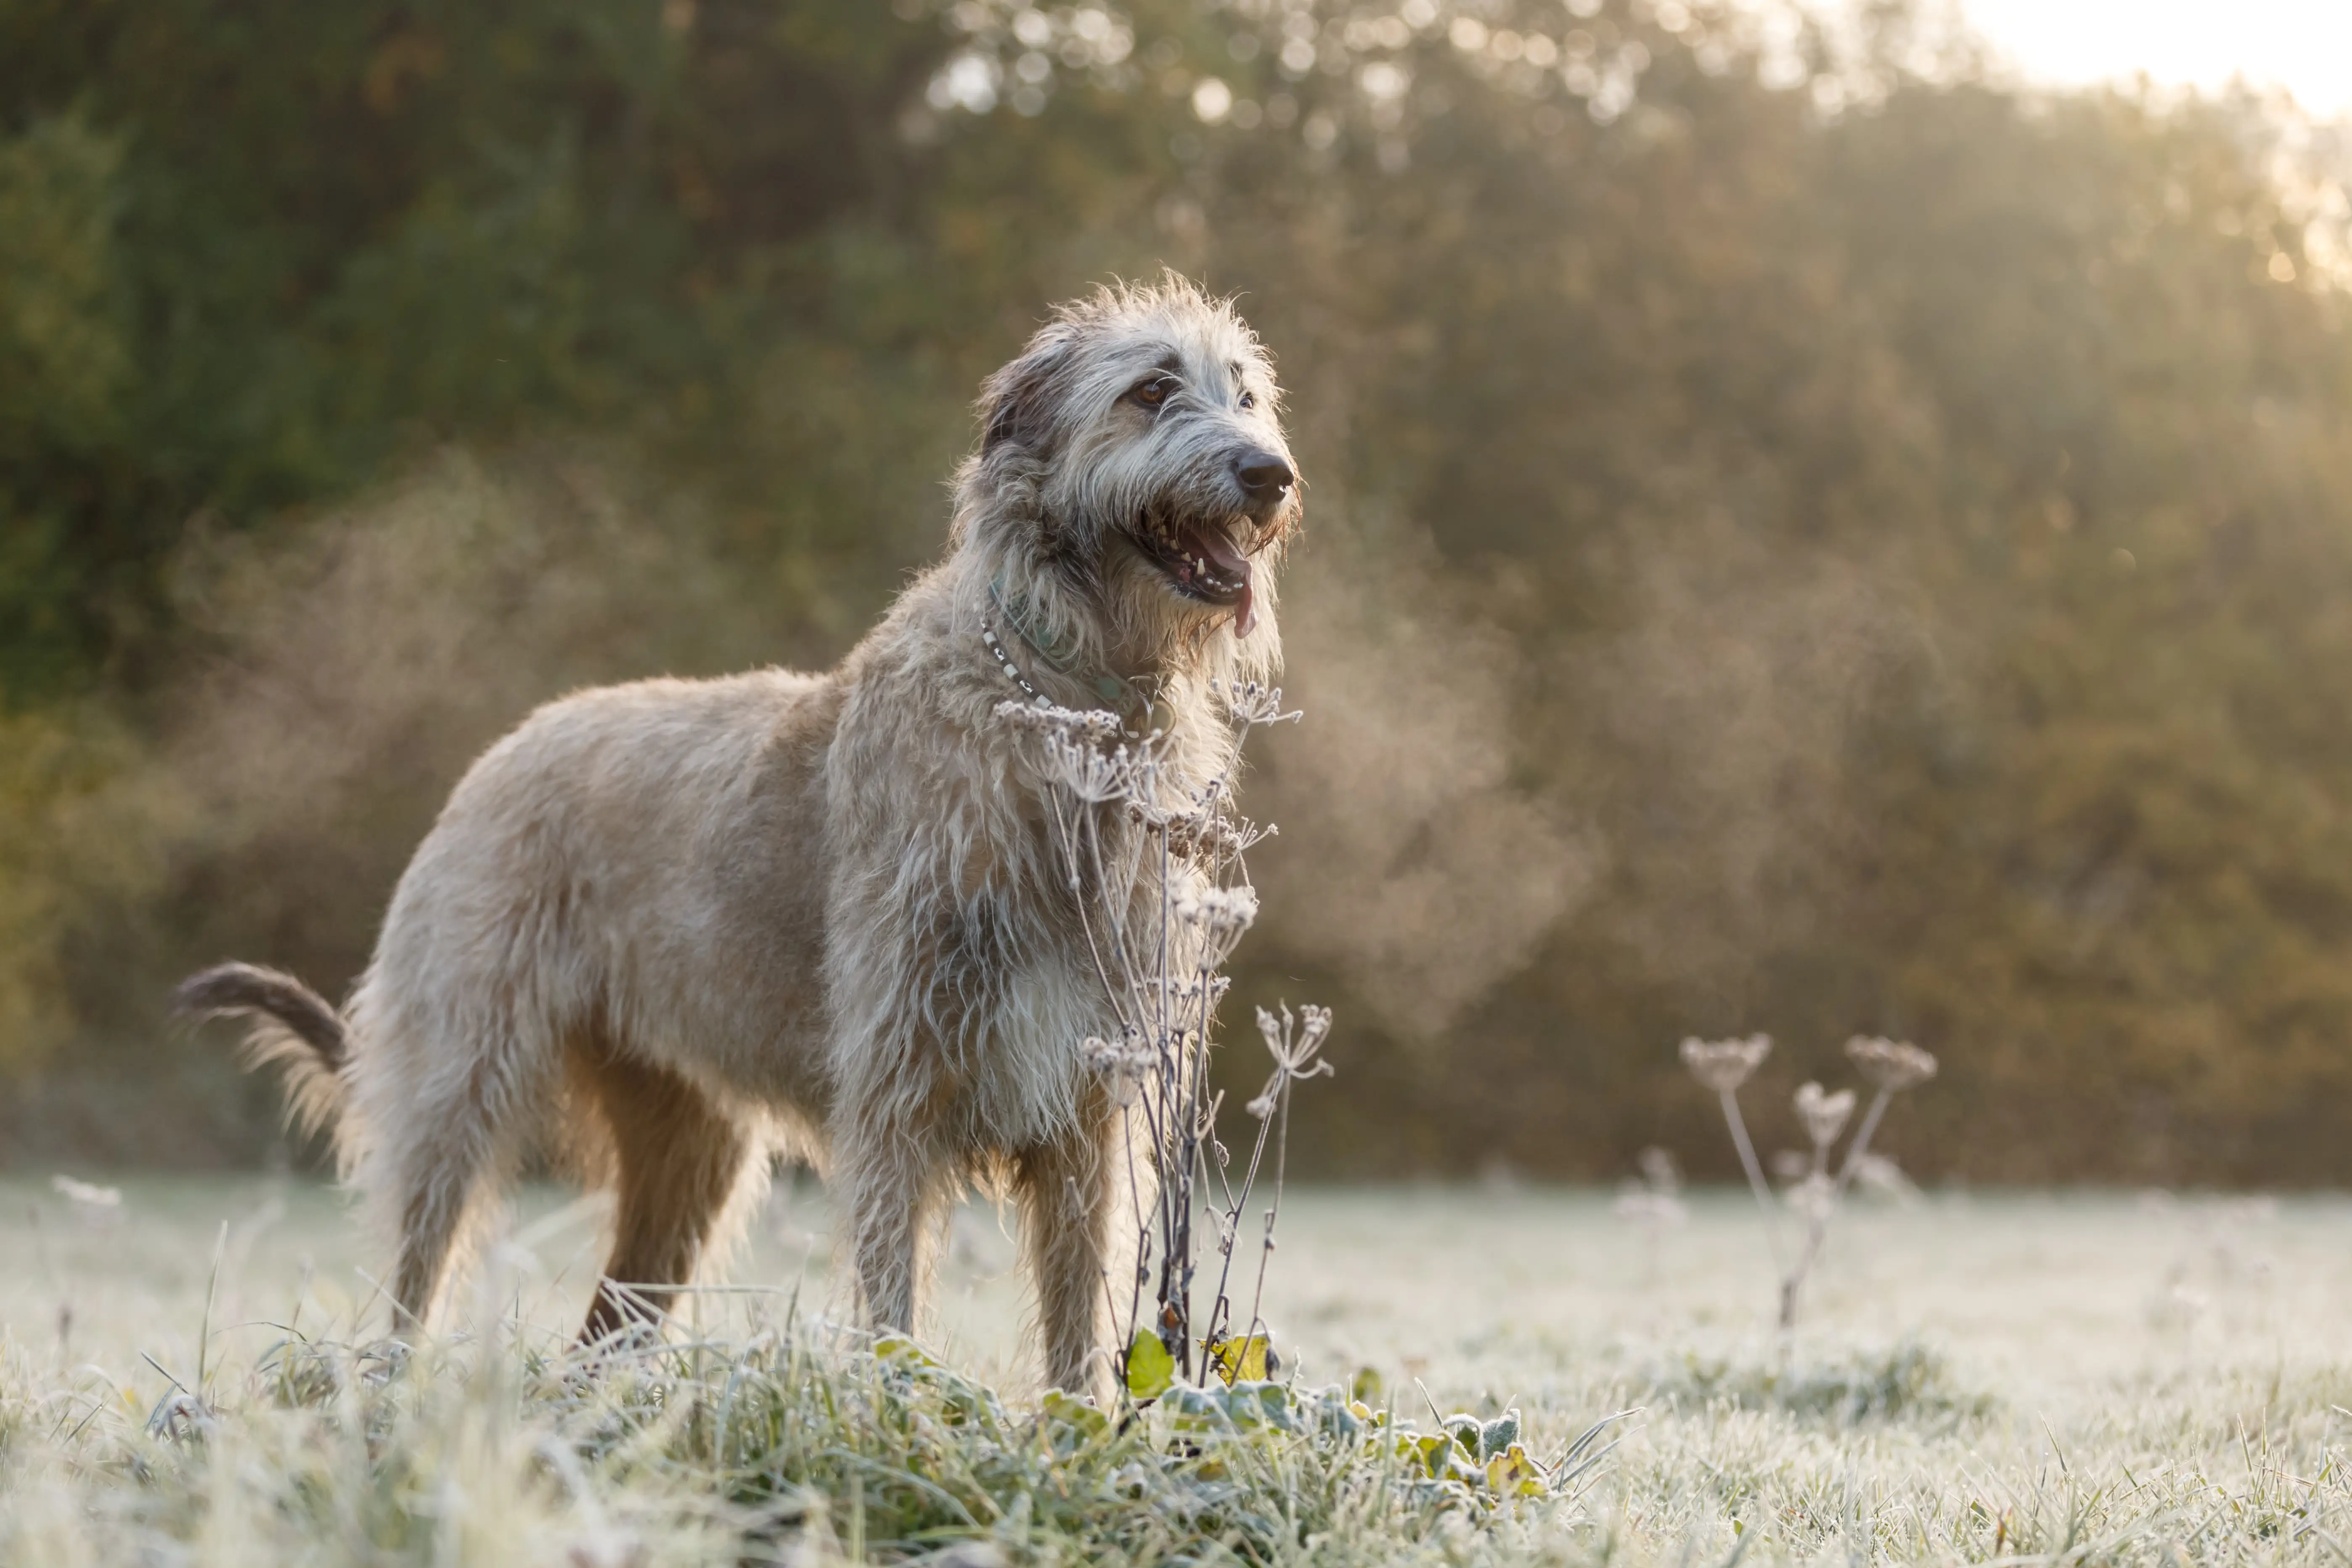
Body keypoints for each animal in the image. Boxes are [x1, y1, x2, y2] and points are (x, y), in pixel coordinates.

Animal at [174, 282, 1298, 1401]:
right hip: (460, 1083)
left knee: (604, 1326)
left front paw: (1072, 1427)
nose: (1270, 474)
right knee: (418, 1269)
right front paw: (899, 1412)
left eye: (1243, 393)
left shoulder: (1088, 1113)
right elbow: (892, 1298)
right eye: (1150, 389)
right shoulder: (894, 1093)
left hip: (686, 1160)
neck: (1063, 711)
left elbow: (1079, 1312)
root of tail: (496, 756)